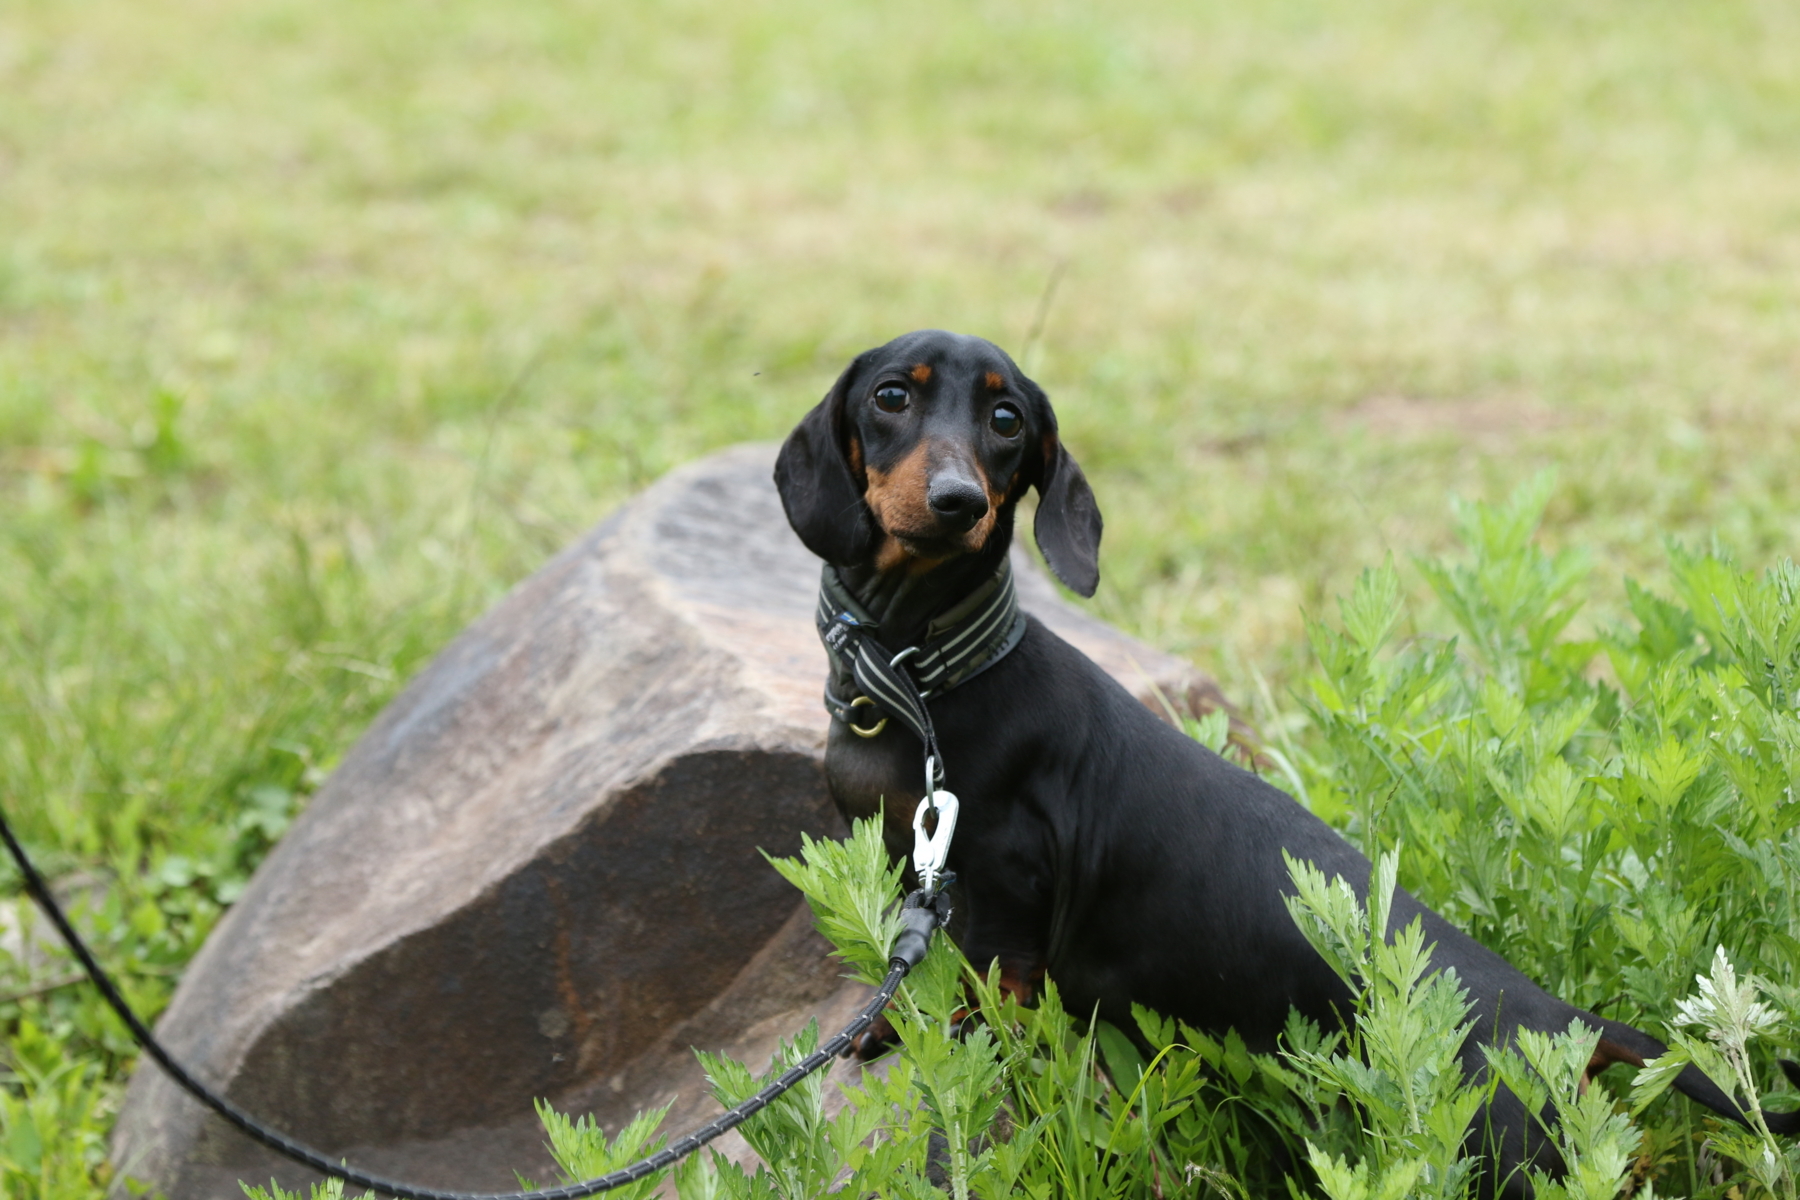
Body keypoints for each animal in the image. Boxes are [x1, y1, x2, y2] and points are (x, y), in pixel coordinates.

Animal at [770, 325, 1785, 1194]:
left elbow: (981, 999)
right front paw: (882, 1025)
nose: (958, 503)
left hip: (1496, 1153)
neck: (919, 675)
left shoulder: (1003, 901)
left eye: (1007, 418)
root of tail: (1563, 1022)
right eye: (892, 395)